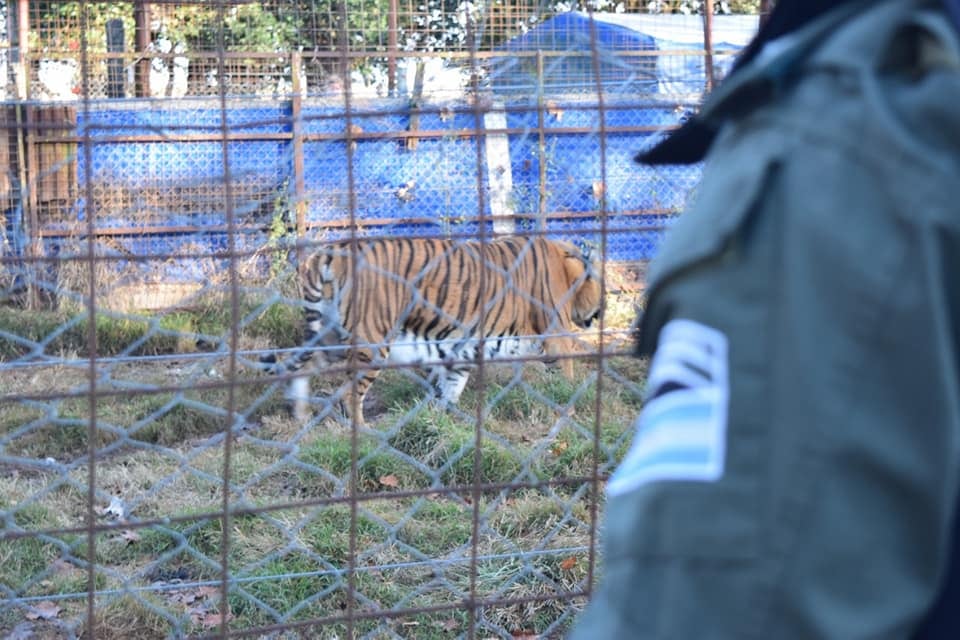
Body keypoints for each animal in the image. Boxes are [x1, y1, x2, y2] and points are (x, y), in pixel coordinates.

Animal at [258, 235, 604, 424]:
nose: (601, 311)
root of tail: (330, 252)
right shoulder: (556, 336)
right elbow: (566, 378)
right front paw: (569, 408)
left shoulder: (462, 347)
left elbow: (450, 387)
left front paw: (442, 420)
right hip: (372, 343)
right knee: (350, 396)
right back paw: (366, 433)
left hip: (328, 334)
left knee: (302, 367)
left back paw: (300, 416)